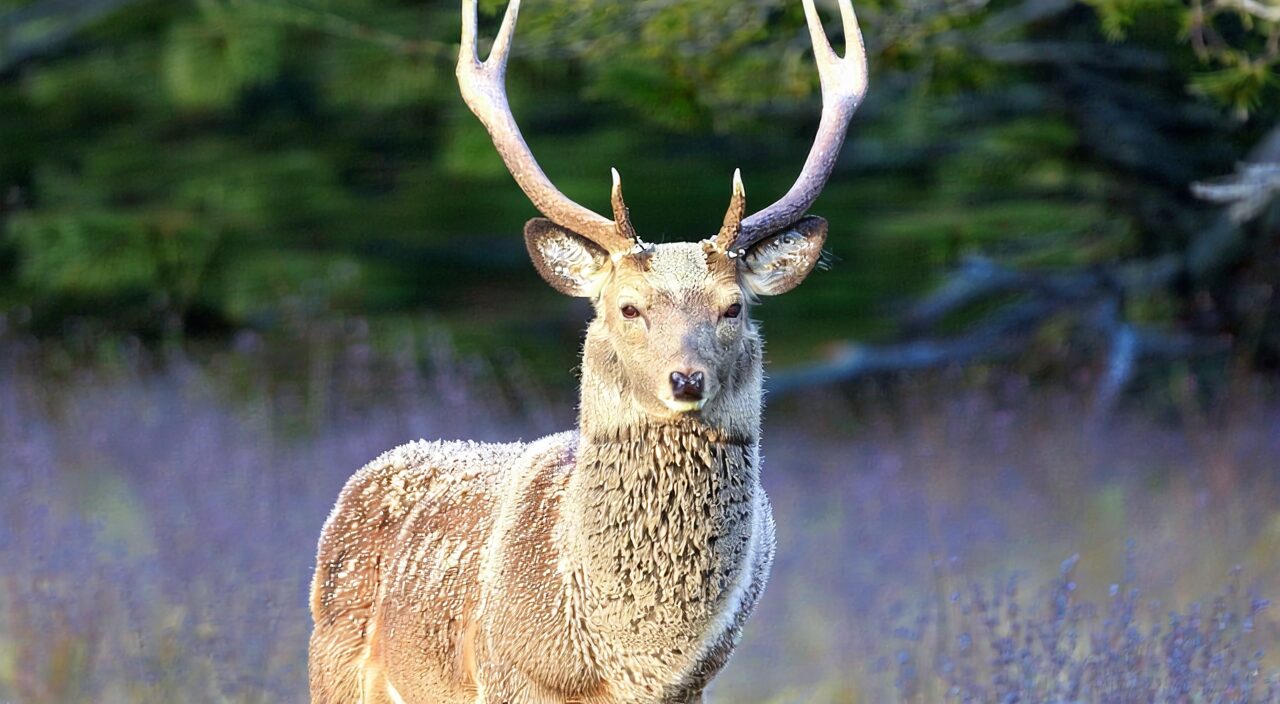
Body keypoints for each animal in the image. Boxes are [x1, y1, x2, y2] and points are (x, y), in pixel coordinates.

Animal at [308, 0, 866, 701]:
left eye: (733, 307)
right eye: (627, 307)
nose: (687, 381)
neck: (632, 659)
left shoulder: (699, 681)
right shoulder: (507, 673)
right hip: (335, 663)